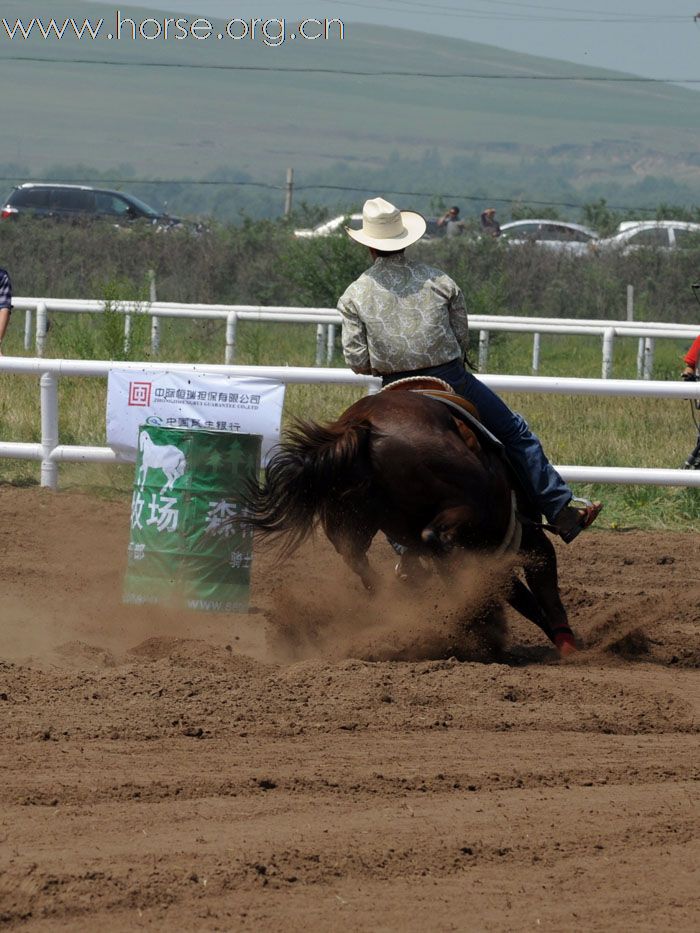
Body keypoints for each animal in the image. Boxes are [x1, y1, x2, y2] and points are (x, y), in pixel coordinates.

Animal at [241, 386, 576, 656]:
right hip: (467, 507)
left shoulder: (492, 554)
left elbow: (520, 595)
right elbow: (542, 585)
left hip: (349, 524)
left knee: (361, 561)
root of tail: (362, 425)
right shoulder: (523, 538)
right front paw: (567, 644)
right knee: (435, 539)